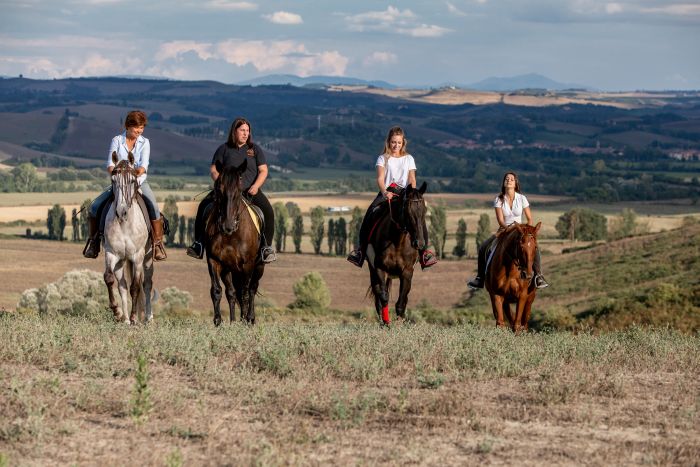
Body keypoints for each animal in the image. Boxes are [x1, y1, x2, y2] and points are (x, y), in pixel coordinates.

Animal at [206, 160, 266, 326]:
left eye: (239, 190)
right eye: (219, 189)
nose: (228, 226)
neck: (231, 235)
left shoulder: (248, 264)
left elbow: (245, 292)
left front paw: (245, 320)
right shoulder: (214, 261)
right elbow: (217, 290)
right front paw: (218, 321)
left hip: (259, 266)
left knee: (251, 289)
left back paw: (249, 318)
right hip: (228, 269)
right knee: (232, 292)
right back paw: (234, 321)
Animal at [366, 182, 426, 326]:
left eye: (424, 211)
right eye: (408, 211)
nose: (419, 243)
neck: (398, 240)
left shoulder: (407, 272)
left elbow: (401, 302)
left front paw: (400, 324)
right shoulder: (380, 269)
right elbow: (384, 297)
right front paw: (386, 323)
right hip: (373, 271)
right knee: (378, 296)